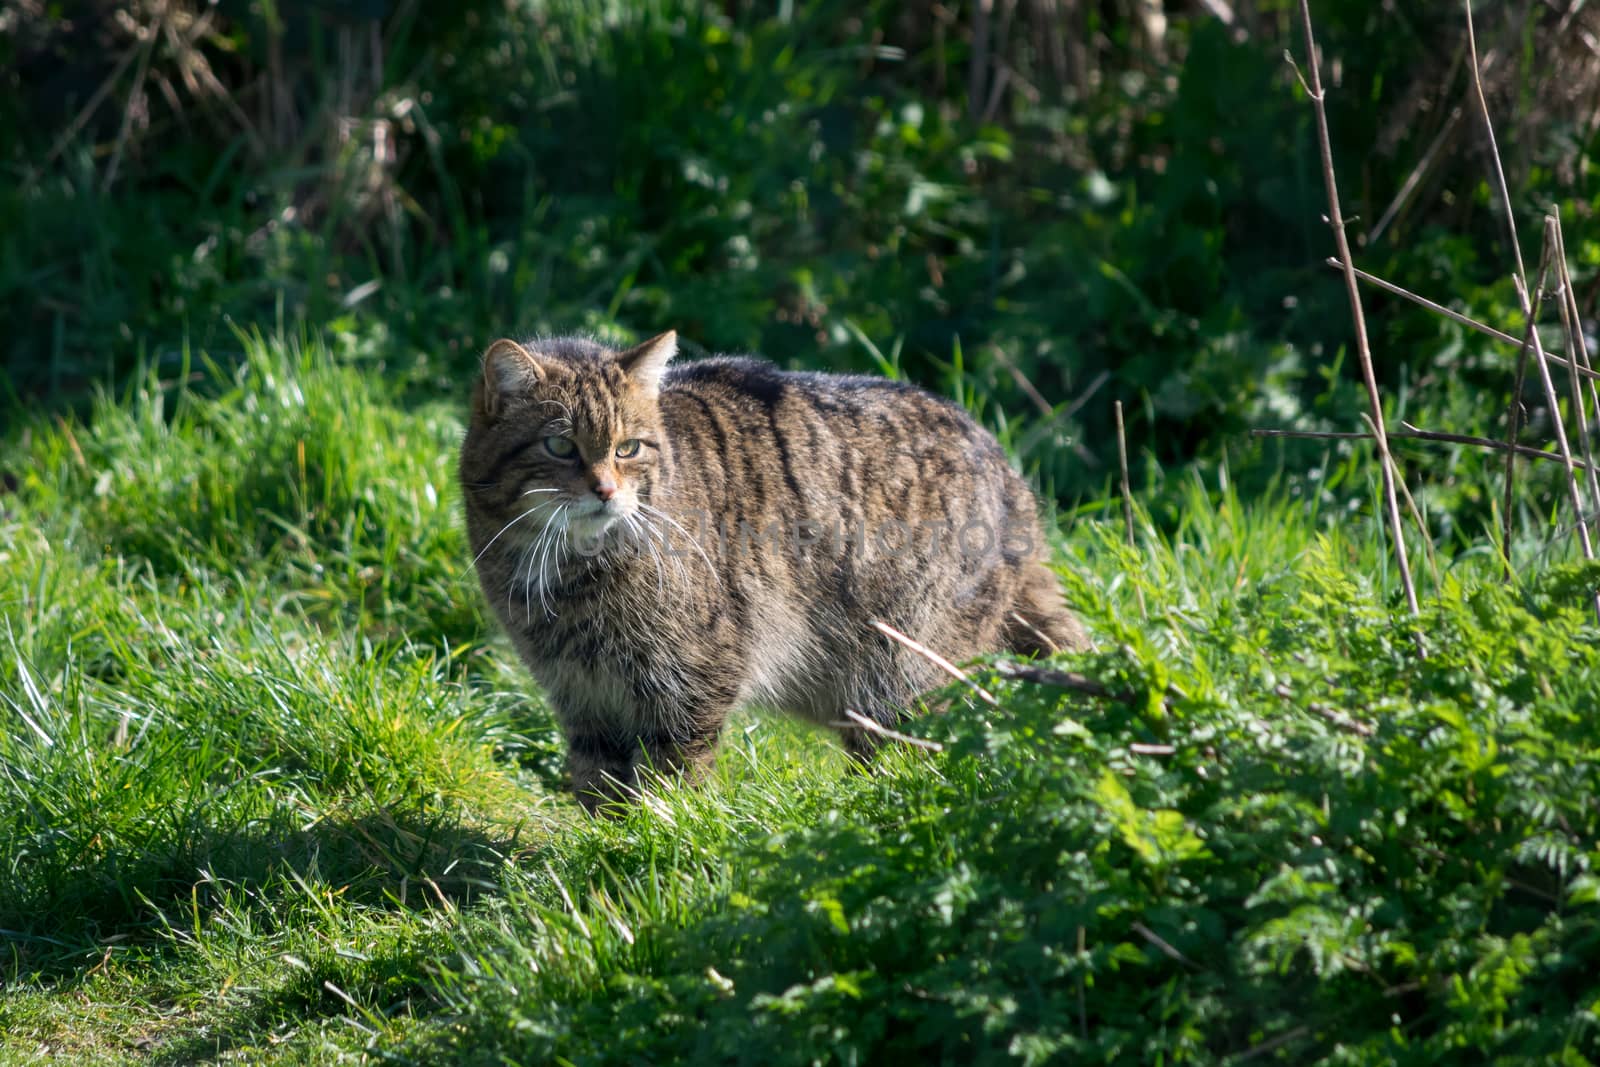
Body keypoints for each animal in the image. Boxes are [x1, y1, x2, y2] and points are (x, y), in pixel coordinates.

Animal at [460, 331, 1088, 809]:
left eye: (628, 448)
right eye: (561, 446)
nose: (606, 491)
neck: (565, 571)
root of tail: (1013, 478)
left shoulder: (694, 679)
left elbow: (672, 774)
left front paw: (659, 831)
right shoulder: (580, 695)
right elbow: (597, 785)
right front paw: (604, 842)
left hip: (901, 673)